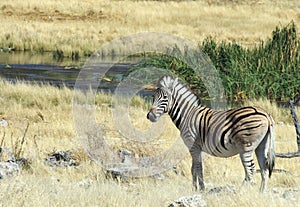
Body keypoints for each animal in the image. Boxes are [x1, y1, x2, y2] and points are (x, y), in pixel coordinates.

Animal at [146, 75, 276, 192]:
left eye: (165, 98)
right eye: (153, 97)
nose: (150, 116)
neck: (187, 115)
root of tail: (266, 114)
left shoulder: (193, 146)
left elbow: (198, 168)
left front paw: (200, 189)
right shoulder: (196, 147)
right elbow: (194, 168)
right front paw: (195, 189)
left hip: (245, 147)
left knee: (251, 169)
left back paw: (240, 192)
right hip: (261, 146)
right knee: (264, 168)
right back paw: (261, 193)